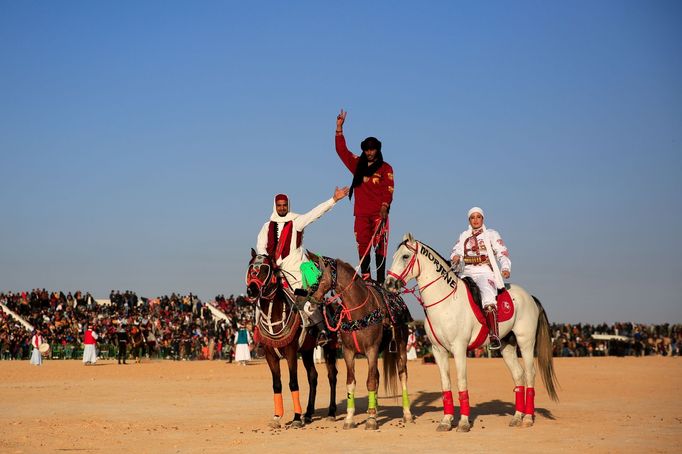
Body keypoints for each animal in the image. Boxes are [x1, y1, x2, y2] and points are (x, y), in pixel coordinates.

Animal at [246, 250, 338, 428]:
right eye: (250, 267)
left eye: (265, 268)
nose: (251, 290)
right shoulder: (270, 355)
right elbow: (277, 384)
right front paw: (277, 417)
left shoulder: (291, 352)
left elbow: (293, 383)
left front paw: (296, 418)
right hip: (308, 351)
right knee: (313, 377)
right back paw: (308, 413)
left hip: (330, 348)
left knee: (332, 376)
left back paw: (331, 412)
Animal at [310, 255, 414, 430]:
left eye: (320, 277)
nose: (312, 301)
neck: (357, 311)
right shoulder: (348, 352)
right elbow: (351, 383)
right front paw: (350, 419)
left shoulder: (372, 350)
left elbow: (370, 382)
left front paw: (371, 420)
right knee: (378, 376)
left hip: (400, 348)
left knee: (403, 375)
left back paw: (407, 414)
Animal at [386, 234, 556, 432]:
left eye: (405, 256)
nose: (388, 283)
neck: (445, 302)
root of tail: (529, 297)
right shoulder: (438, 350)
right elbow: (445, 384)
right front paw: (446, 421)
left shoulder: (459, 348)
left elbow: (461, 382)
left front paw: (464, 422)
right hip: (507, 345)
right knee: (518, 375)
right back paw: (516, 417)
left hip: (526, 342)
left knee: (529, 374)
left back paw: (528, 418)